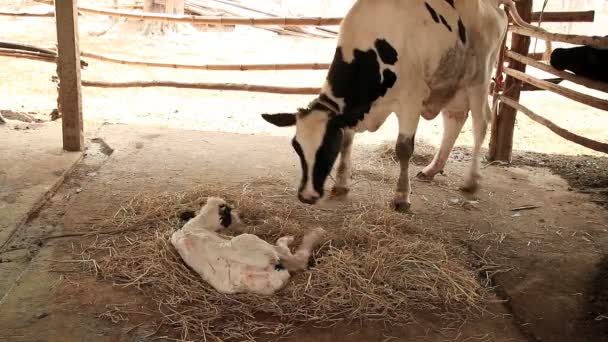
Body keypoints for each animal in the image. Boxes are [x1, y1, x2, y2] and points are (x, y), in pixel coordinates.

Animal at [262, 0, 552, 211]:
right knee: (455, 119)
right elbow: (348, 139)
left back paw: (471, 181)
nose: (307, 195)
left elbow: (403, 149)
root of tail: (494, 5)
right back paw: (432, 169)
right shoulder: (355, 110)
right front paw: (342, 184)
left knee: (481, 122)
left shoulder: (411, 100)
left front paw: (401, 197)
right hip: (451, 80)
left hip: (478, 78)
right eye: (297, 147)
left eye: (326, 148)